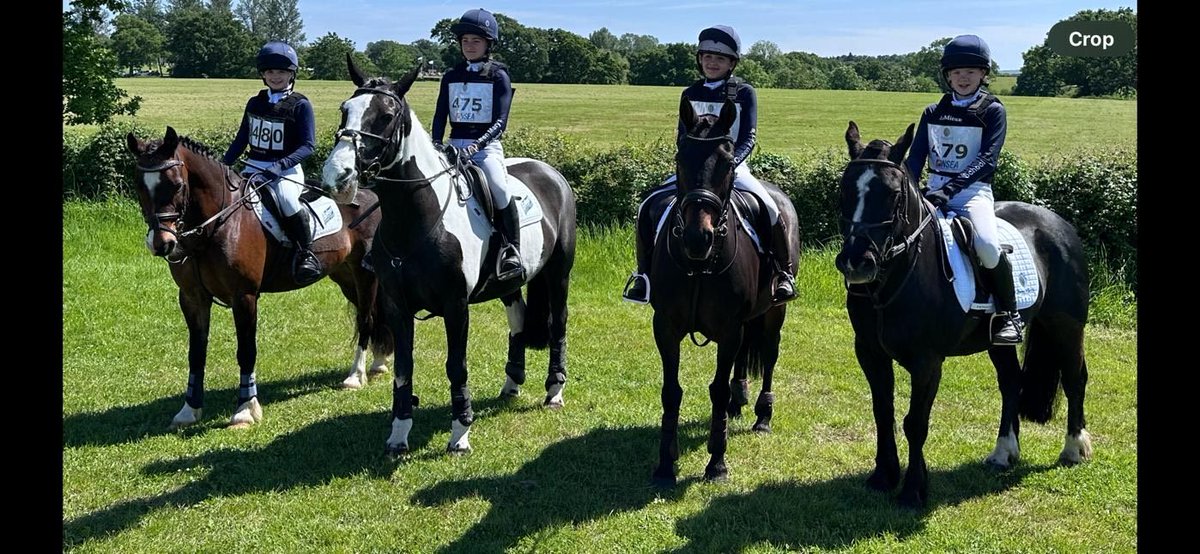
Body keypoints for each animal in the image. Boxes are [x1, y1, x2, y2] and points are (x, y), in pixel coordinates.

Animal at [126, 128, 391, 429]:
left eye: (177, 185)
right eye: (139, 185)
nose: (162, 244)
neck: (214, 226)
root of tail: (371, 195)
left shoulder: (245, 297)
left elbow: (246, 351)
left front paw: (245, 410)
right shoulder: (193, 298)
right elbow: (196, 353)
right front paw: (189, 409)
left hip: (364, 274)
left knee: (366, 318)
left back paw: (355, 376)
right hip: (344, 276)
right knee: (369, 314)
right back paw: (379, 362)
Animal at [321, 56, 578, 455]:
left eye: (387, 115)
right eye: (345, 109)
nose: (339, 176)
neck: (416, 220)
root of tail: (551, 173)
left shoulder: (455, 306)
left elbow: (456, 366)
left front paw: (460, 434)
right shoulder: (396, 305)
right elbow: (403, 368)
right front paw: (398, 434)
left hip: (558, 274)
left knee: (559, 324)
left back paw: (554, 391)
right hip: (510, 285)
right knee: (518, 319)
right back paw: (511, 383)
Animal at [643, 99, 801, 484]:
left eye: (728, 162)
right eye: (680, 157)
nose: (697, 238)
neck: (699, 265)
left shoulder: (729, 329)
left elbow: (715, 388)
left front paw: (716, 463)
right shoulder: (665, 326)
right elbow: (671, 391)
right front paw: (665, 464)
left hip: (774, 312)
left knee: (769, 355)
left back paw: (762, 415)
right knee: (744, 357)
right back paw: (738, 400)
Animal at [840, 123, 1094, 508]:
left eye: (894, 194)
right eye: (844, 187)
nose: (856, 262)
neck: (899, 276)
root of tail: (1057, 222)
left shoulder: (927, 361)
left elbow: (915, 422)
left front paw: (913, 490)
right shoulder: (870, 353)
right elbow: (882, 412)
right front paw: (884, 477)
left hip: (1065, 326)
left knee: (1075, 378)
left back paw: (1074, 449)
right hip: (999, 341)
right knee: (1011, 382)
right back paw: (1003, 453)